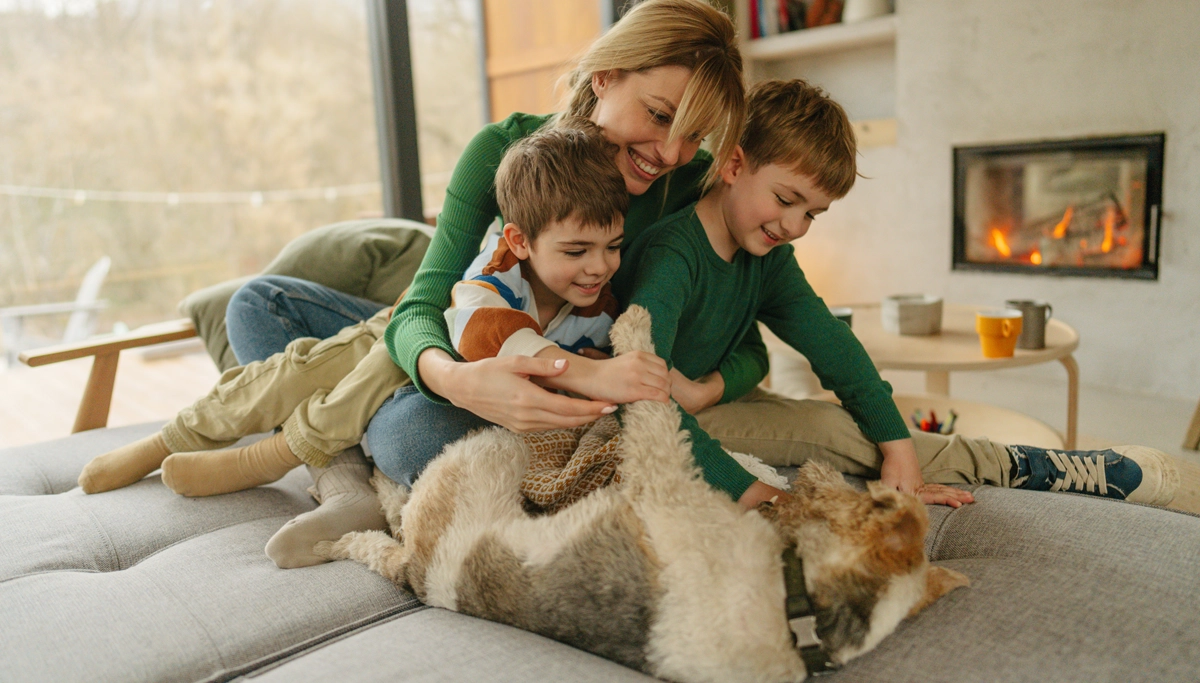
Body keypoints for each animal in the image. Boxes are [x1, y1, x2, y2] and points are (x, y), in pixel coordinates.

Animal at [316, 306, 964, 676]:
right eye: (872, 500)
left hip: (486, 449)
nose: (815, 475)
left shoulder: (666, 481)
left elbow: (658, 414)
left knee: (393, 512)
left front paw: (633, 323)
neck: (802, 609)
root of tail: (426, 577)